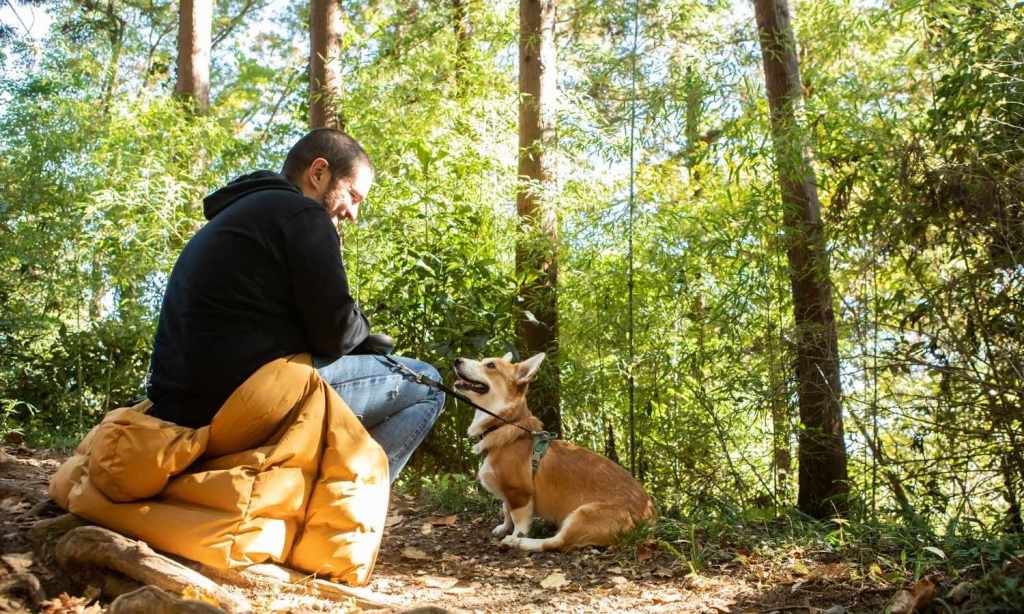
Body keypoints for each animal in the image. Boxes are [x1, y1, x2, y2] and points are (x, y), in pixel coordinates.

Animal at [456, 349, 655, 552]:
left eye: (490, 365)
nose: (457, 360)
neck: (502, 424)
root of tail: (647, 516)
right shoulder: (509, 494)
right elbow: (505, 509)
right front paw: (503, 527)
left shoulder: (520, 494)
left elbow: (518, 521)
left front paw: (514, 535)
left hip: (582, 514)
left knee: (556, 542)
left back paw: (521, 542)